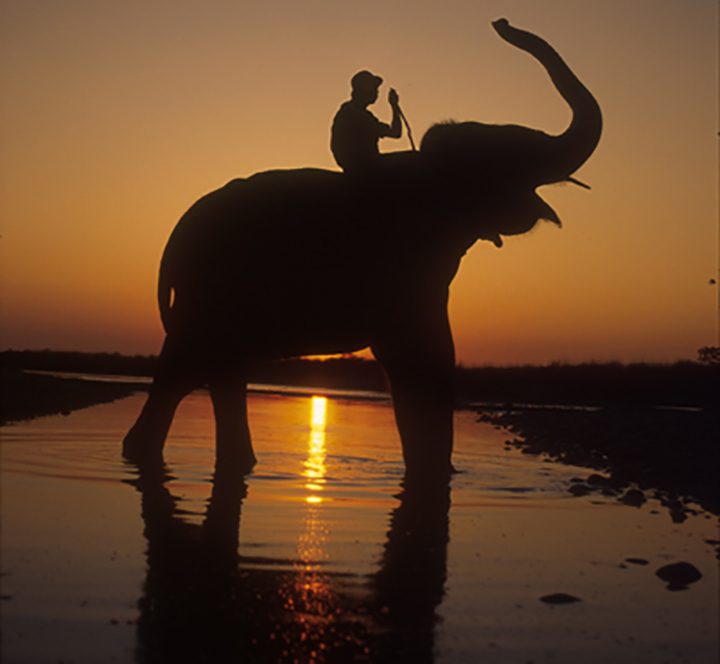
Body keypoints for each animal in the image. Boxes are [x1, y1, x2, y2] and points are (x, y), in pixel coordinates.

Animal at [123, 19, 602, 481]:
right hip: (208, 289)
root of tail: (178, 233)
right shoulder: (399, 265)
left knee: (218, 373)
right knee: (185, 370)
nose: (500, 21)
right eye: (497, 159)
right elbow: (425, 354)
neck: (425, 171)